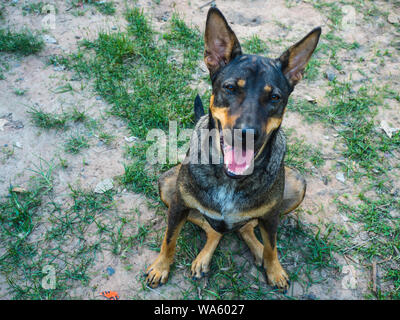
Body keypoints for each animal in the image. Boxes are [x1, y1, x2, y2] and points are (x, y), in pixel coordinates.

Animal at [145, 6, 320, 292]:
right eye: (229, 88)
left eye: (275, 97)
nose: (246, 134)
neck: (230, 180)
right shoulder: (179, 204)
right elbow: (169, 239)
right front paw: (161, 267)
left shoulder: (272, 215)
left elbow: (272, 245)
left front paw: (274, 268)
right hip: (167, 186)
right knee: (214, 229)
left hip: (296, 185)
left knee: (244, 227)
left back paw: (256, 250)